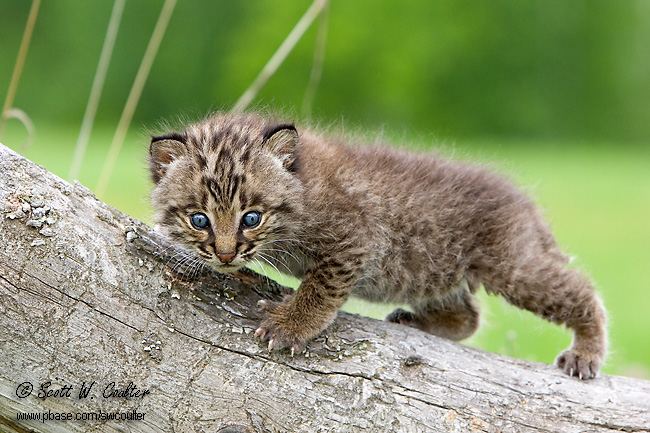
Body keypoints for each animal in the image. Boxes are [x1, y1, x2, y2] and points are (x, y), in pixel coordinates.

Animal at [149, 111, 604, 378]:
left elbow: (321, 288)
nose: (226, 254)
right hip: (435, 269)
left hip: (510, 266)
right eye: (199, 220)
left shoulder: (355, 240)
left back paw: (586, 352)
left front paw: (291, 324)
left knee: (581, 288)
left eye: (251, 218)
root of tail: (525, 203)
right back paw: (418, 322)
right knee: (470, 314)